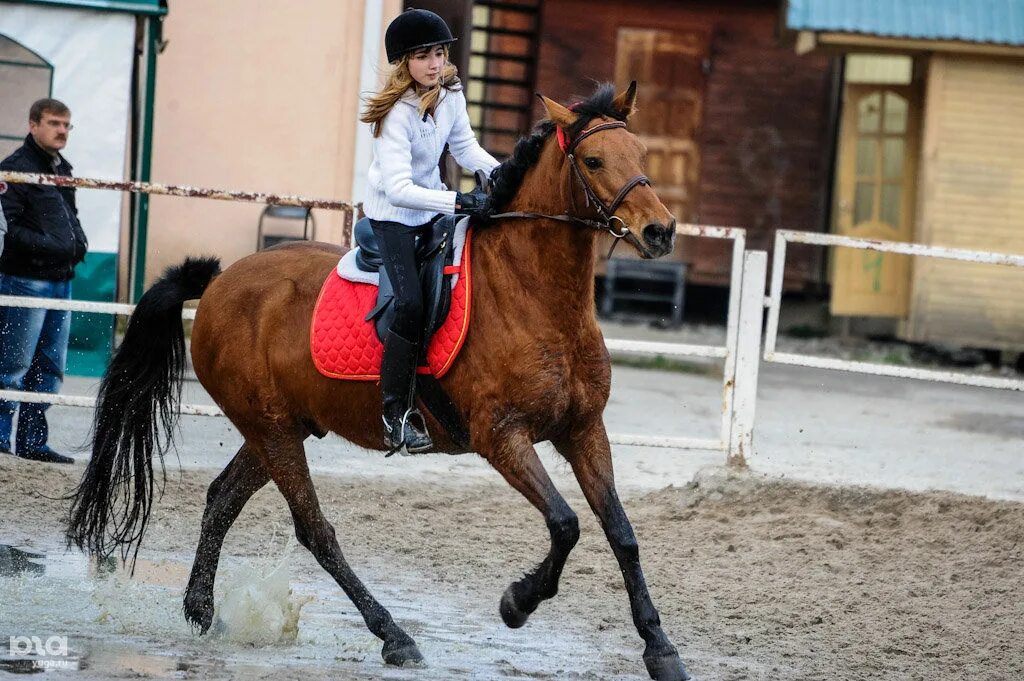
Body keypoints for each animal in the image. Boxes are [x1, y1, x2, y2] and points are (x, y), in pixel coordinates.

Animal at [64, 83, 688, 679]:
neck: (536, 295)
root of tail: (219, 283)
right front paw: (517, 603)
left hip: (278, 428)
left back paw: (200, 611)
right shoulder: (502, 437)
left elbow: (621, 534)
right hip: (274, 433)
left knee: (222, 499)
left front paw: (660, 650)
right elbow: (566, 524)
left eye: (641, 154)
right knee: (315, 530)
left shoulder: (583, 431)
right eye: (594, 159)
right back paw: (393, 636)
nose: (659, 230)